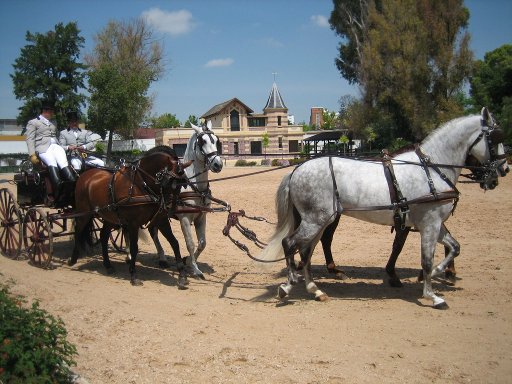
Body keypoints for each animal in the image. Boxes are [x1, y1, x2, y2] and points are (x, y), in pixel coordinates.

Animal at [66, 146, 190, 286]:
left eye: (181, 185)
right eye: (170, 182)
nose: (171, 208)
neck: (141, 184)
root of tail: (85, 175)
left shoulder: (161, 220)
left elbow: (174, 242)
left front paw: (182, 274)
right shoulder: (133, 223)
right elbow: (134, 247)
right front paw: (133, 275)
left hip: (109, 216)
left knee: (103, 236)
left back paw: (108, 265)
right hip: (84, 213)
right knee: (78, 231)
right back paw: (73, 259)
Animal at [146, 121, 222, 280]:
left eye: (216, 141)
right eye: (202, 141)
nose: (218, 164)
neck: (192, 184)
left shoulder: (201, 217)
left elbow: (202, 243)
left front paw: (187, 261)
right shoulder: (185, 219)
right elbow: (190, 243)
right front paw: (195, 269)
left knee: (152, 230)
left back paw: (162, 258)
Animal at [258, 108, 510, 308]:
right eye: (496, 137)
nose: (504, 169)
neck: (431, 168)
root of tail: (296, 170)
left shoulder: (434, 223)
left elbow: (454, 247)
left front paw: (437, 274)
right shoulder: (429, 223)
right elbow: (426, 259)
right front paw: (432, 295)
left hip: (320, 220)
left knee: (306, 250)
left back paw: (315, 289)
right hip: (315, 220)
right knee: (290, 243)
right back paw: (289, 285)